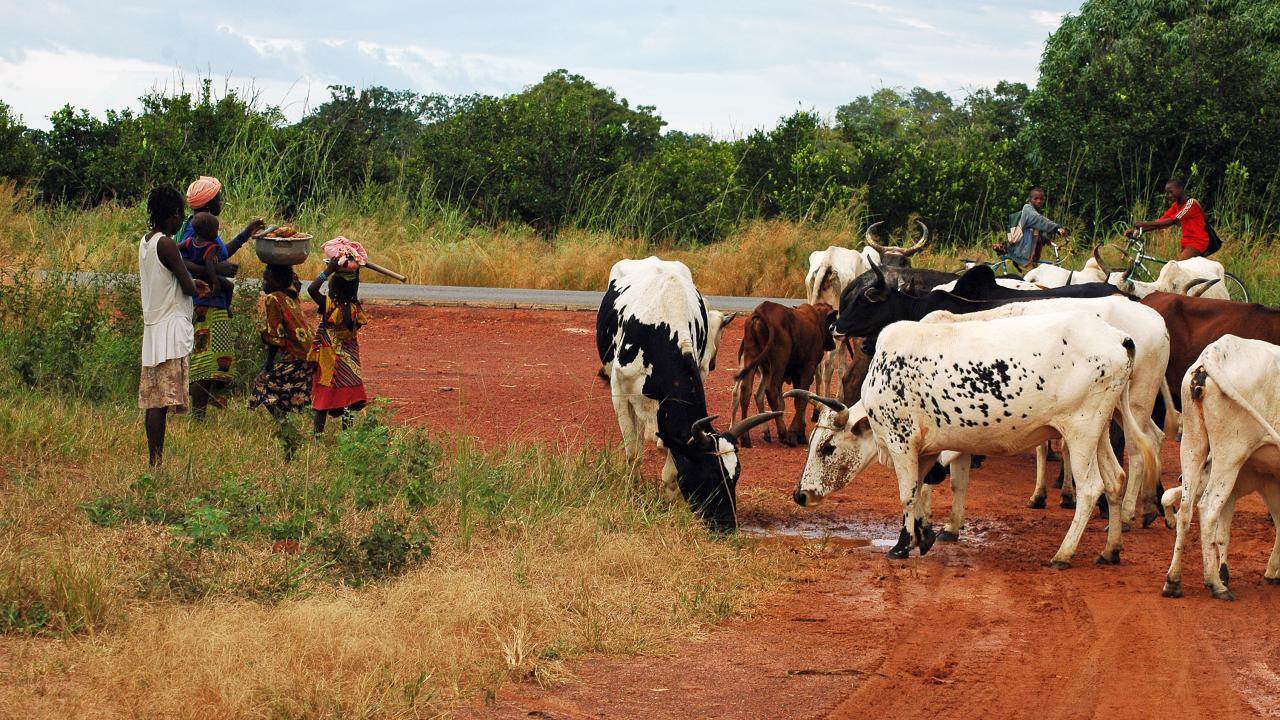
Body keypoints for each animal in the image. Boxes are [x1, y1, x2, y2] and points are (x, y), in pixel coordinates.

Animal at [730, 301, 837, 447]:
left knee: (746, 391)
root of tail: (762, 310)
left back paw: (746, 438)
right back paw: (783, 433)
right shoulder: (807, 368)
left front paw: (800, 434)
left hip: (751, 357)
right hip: (778, 362)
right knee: (771, 391)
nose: (833, 344)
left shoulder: (797, 372)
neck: (815, 321)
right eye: (832, 324)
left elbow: (798, 397)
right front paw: (794, 434)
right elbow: (801, 399)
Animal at [793, 312, 1158, 568]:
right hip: (1100, 432)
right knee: (1115, 480)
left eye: (827, 448)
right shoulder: (927, 450)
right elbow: (922, 492)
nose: (800, 495)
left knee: (1091, 488)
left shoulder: (902, 444)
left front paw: (900, 546)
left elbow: (907, 495)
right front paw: (924, 536)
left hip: (1080, 432)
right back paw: (1110, 550)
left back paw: (1063, 554)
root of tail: (1118, 337)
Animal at [1162, 336, 1280, 601]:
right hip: (1230, 454)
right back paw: (1216, 584)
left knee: (1185, 508)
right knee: (1207, 508)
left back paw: (1173, 581)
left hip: (1192, 442)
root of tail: (1215, 352)